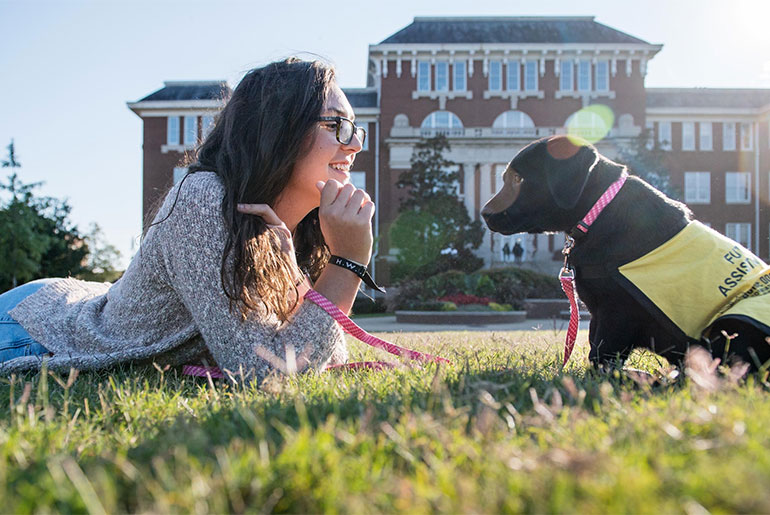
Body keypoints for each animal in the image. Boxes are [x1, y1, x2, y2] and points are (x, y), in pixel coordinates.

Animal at [480, 136, 768, 370]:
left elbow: (602, 356)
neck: (598, 211)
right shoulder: (598, 312)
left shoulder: (617, 312)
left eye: (518, 179)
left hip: (732, 323)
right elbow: (595, 349)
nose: (483, 213)